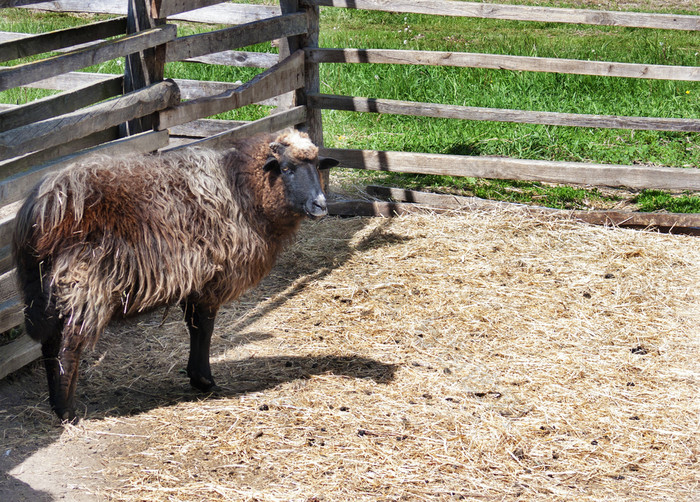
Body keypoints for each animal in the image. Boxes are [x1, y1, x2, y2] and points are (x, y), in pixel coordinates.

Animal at [10, 128, 340, 420]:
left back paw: (55, 403)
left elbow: (195, 328)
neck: (240, 187)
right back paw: (67, 412)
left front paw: (197, 377)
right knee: (70, 345)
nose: (320, 205)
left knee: (50, 343)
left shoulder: (196, 280)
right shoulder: (212, 280)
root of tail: (43, 206)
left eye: (316, 166)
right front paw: (205, 380)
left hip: (42, 289)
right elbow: (204, 328)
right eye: (286, 168)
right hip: (85, 283)